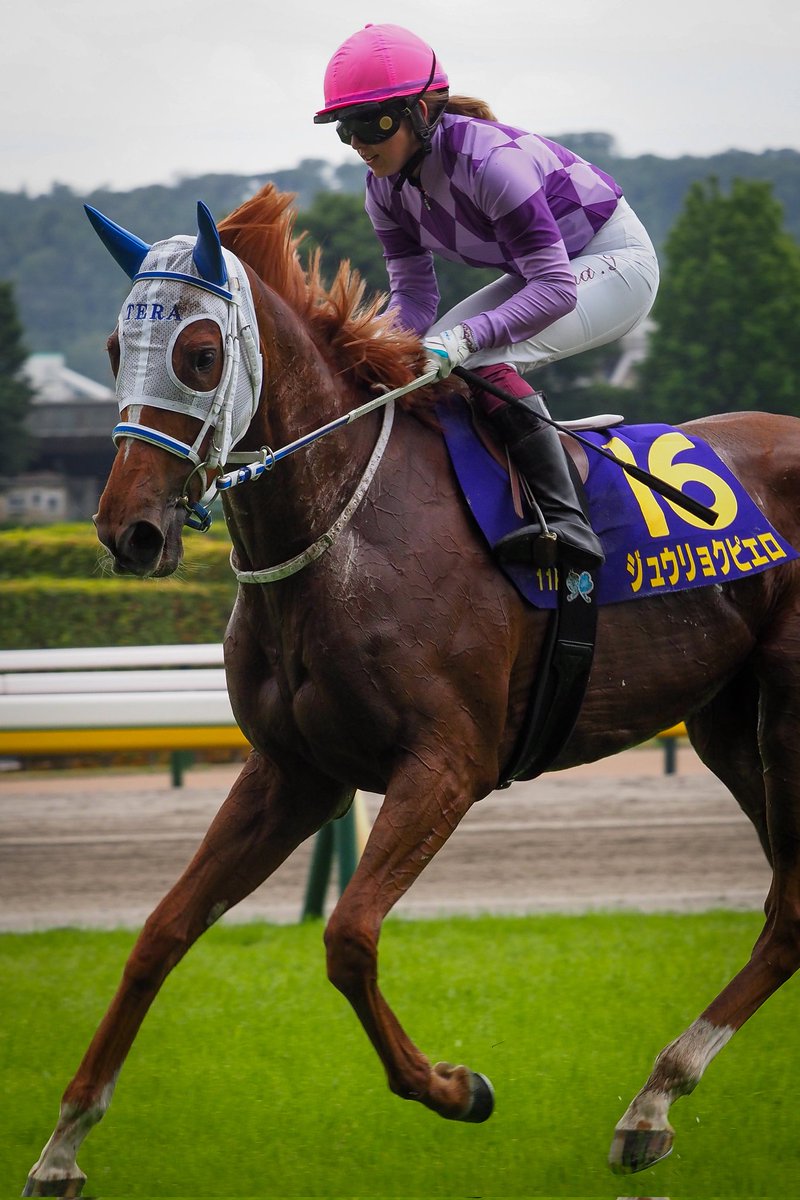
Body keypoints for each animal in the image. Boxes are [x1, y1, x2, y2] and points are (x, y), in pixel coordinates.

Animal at [23, 183, 800, 1196]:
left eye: (199, 354)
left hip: (787, 714)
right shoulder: (292, 774)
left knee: (792, 902)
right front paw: (64, 1141)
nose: (129, 532)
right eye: (118, 352)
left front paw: (454, 1087)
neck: (347, 525)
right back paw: (652, 1105)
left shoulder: (446, 766)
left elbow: (349, 936)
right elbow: (162, 929)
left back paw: (655, 1095)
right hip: (727, 721)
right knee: (791, 907)